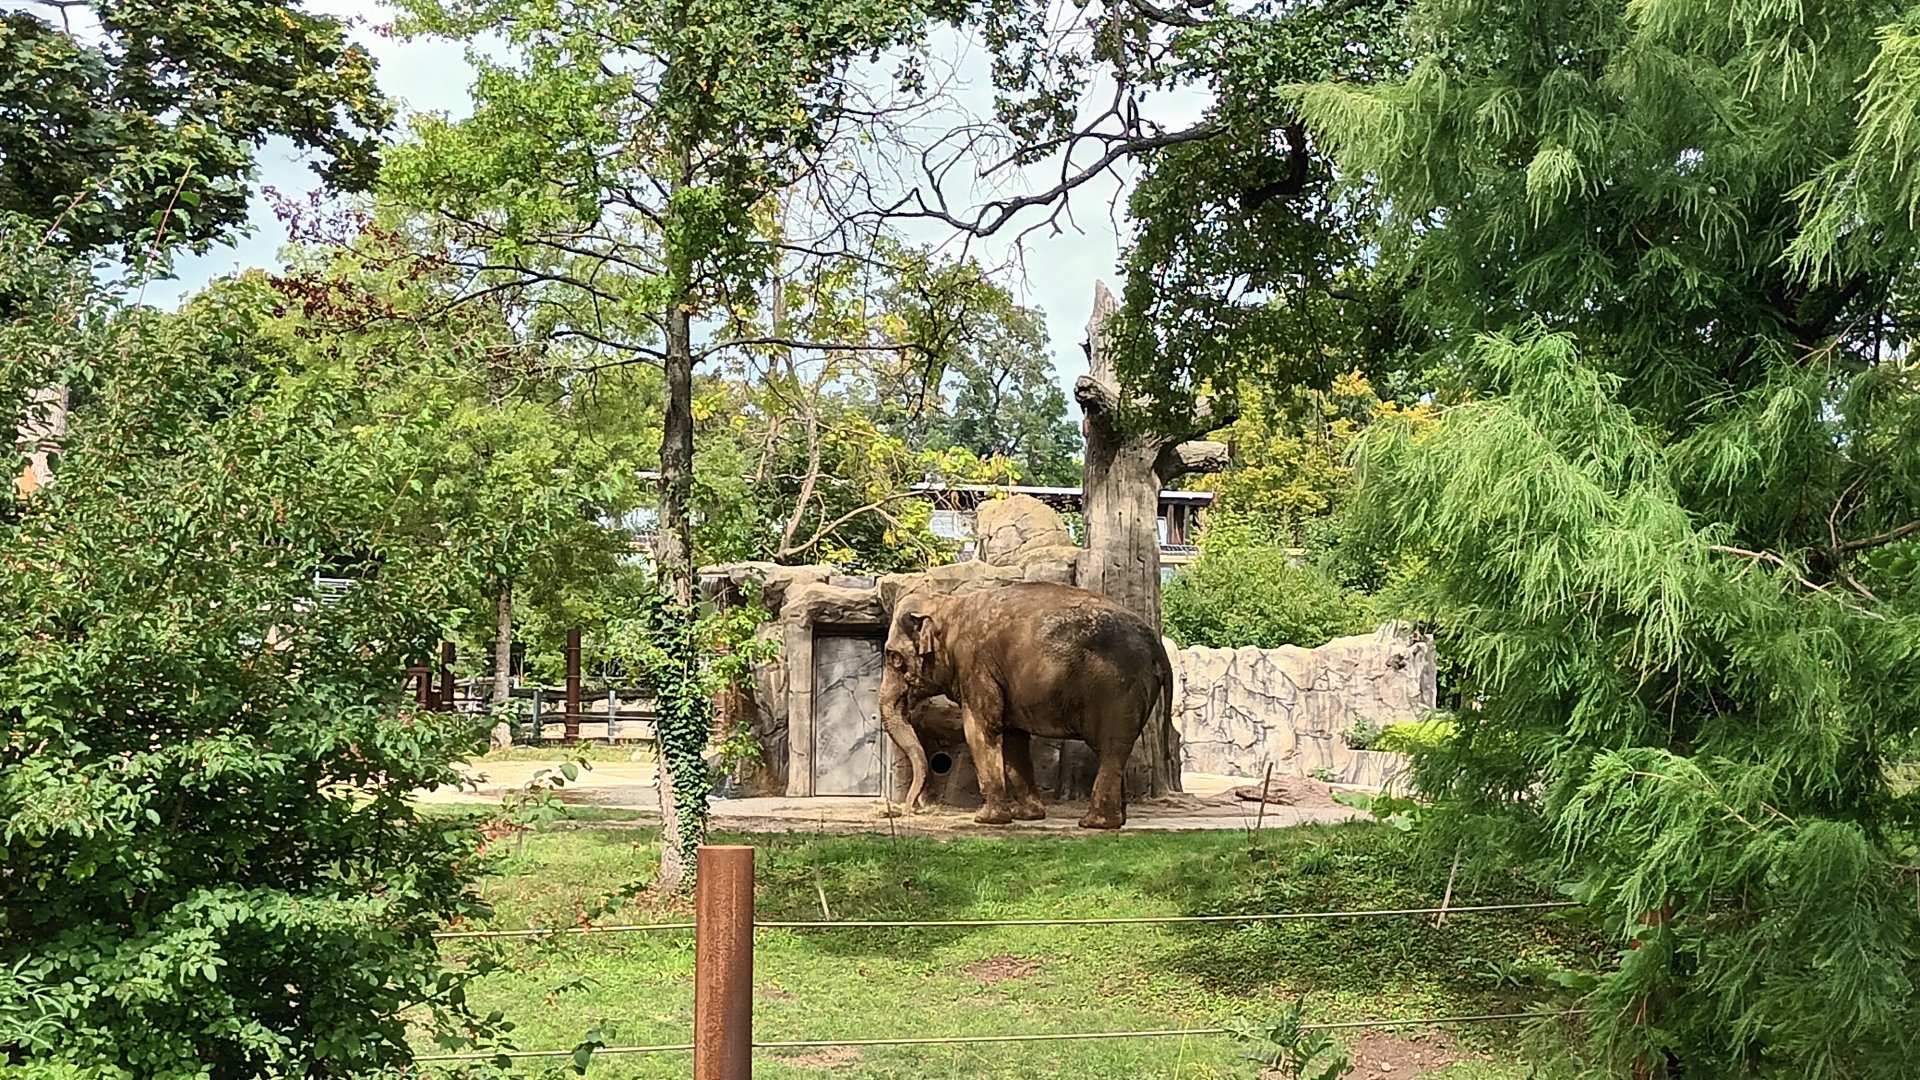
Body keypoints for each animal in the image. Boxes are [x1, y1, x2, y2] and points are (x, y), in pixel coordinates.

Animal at [878, 581, 1174, 829]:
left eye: (893, 657)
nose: (910, 809)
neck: (947, 605)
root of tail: (1158, 647)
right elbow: (1012, 738)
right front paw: (1027, 816)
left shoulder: (974, 665)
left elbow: (981, 728)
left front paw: (986, 820)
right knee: (1114, 750)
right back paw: (1115, 821)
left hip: (1117, 689)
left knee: (1110, 747)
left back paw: (1095, 823)